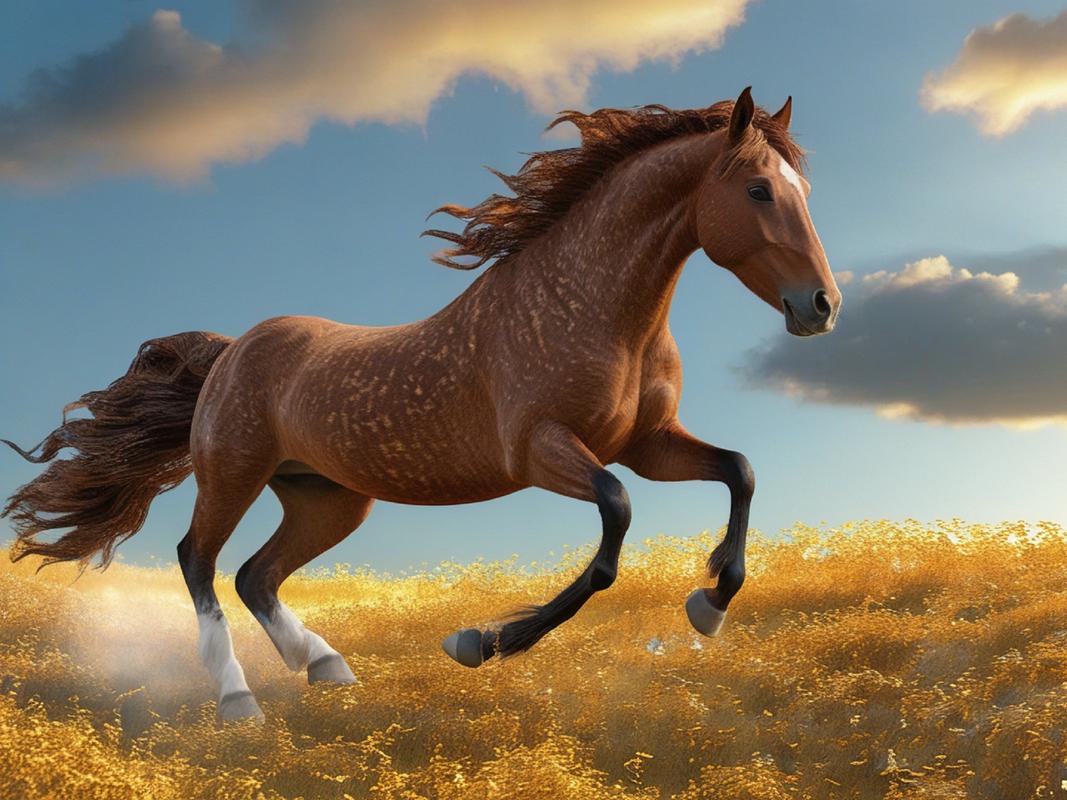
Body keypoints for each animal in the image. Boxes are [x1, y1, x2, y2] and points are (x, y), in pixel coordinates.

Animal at [3, 88, 840, 722]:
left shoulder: (651, 442)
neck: (593, 308)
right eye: (758, 189)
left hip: (327, 499)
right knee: (197, 562)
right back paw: (240, 702)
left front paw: (710, 602)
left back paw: (327, 668)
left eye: (804, 191)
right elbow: (614, 521)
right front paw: (481, 643)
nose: (820, 307)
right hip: (232, 475)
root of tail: (231, 350)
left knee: (255, 576)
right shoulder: (541, 450)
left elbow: (739, 471)